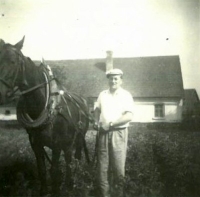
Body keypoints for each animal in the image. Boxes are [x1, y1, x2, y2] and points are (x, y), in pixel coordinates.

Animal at [0, 36, 90, 195]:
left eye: (13, 61)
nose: (0, 94)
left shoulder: (56, 145)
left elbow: (54, 170)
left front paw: (56, 191)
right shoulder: (36, 144)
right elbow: (42, 169)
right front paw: (44, 191)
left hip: (78, 138)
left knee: (75, 159)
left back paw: (71, 184)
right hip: (68, 142)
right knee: (68, 158)